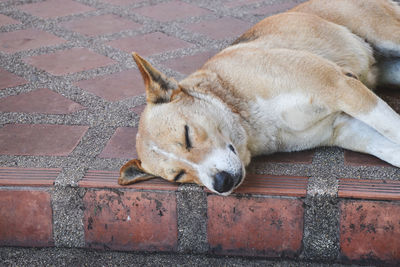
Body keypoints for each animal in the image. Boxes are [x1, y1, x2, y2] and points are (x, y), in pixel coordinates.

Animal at [117, 0, 400, 197]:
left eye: (187, 136)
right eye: (178, 175)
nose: (221, 184)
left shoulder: (339, 87)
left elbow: (392, 129)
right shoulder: (345, 128)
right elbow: (389, 148)